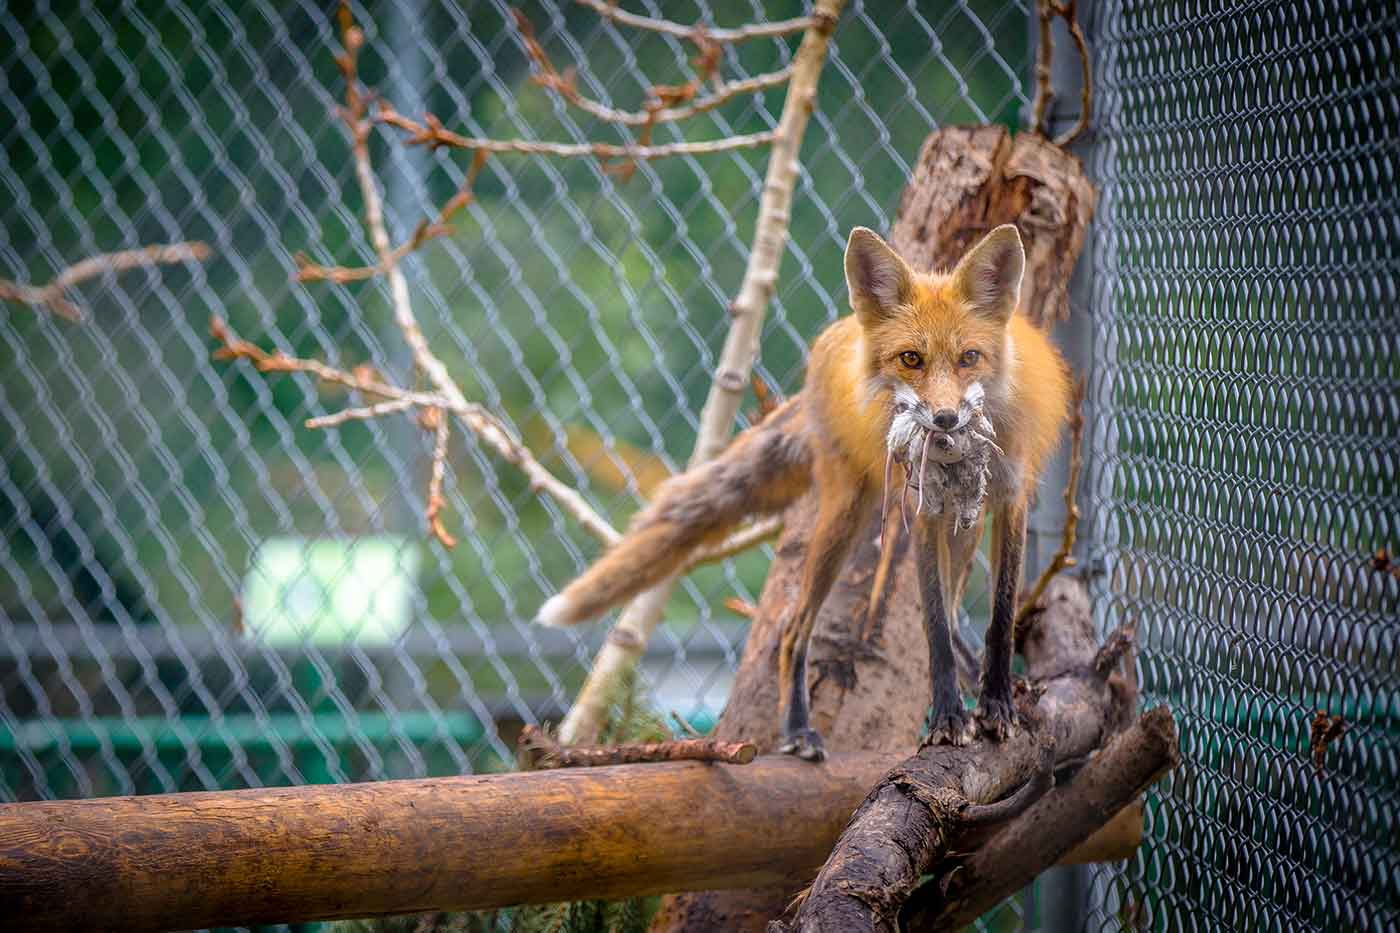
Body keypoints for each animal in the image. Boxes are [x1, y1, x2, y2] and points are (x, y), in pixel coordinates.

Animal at [540, 224, 1064, 756]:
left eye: (969, 358)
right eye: (911, 359)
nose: (944, 420)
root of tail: (834, 339)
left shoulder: (1012, 501)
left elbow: (1000, 616)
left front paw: (996, 705)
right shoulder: (923, 513)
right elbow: (933, 626)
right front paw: (947, 718)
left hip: (958, 526)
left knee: (957, 614)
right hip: (846, 518)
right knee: (796, 629)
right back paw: (796, 729)